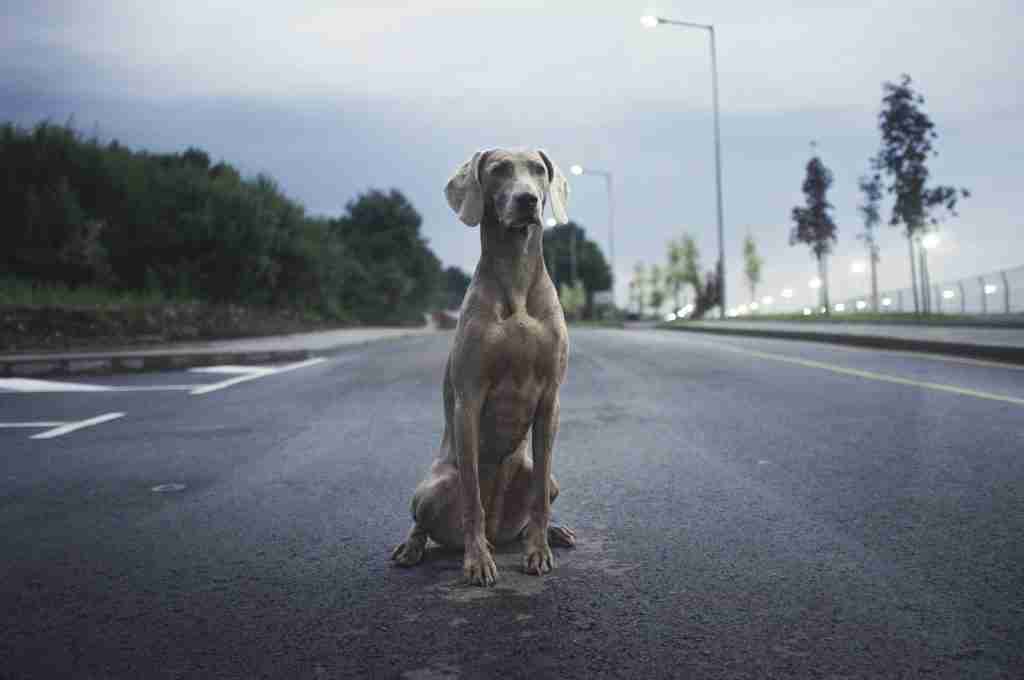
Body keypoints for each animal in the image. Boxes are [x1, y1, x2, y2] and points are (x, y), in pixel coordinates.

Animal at [393, 148, 577, 585]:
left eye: (539, 170)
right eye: (499, 170)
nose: (527, 200)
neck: (516, 278)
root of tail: (499, 531)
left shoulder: (550, 399)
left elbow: (540, 498)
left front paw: (538, 551)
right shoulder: (469, 399)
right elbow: (472, 497)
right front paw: (477, 561)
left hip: (542, 477)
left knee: (537, 496)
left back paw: (551, 533)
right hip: (433, 486)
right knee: (424, 521)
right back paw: (412, 548)